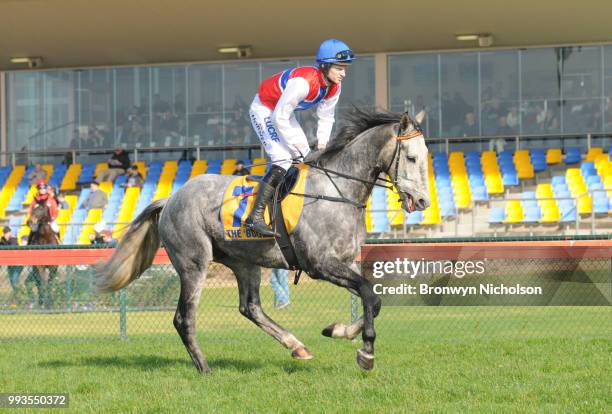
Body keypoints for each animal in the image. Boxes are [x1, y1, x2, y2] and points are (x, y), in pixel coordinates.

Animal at [97, 108, 430, 374]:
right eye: (411, 157)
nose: (423, 201)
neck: (337, 191)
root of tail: (170, 199)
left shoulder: (345, 262)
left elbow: (373, 298)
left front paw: (338, 331)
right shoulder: (320, 264)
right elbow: (369, 295)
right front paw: (366, 353)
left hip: (244, 262)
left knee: (250, 307)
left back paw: (296, 346)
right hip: (194, 263)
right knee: (184, 318)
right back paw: (204, 367)